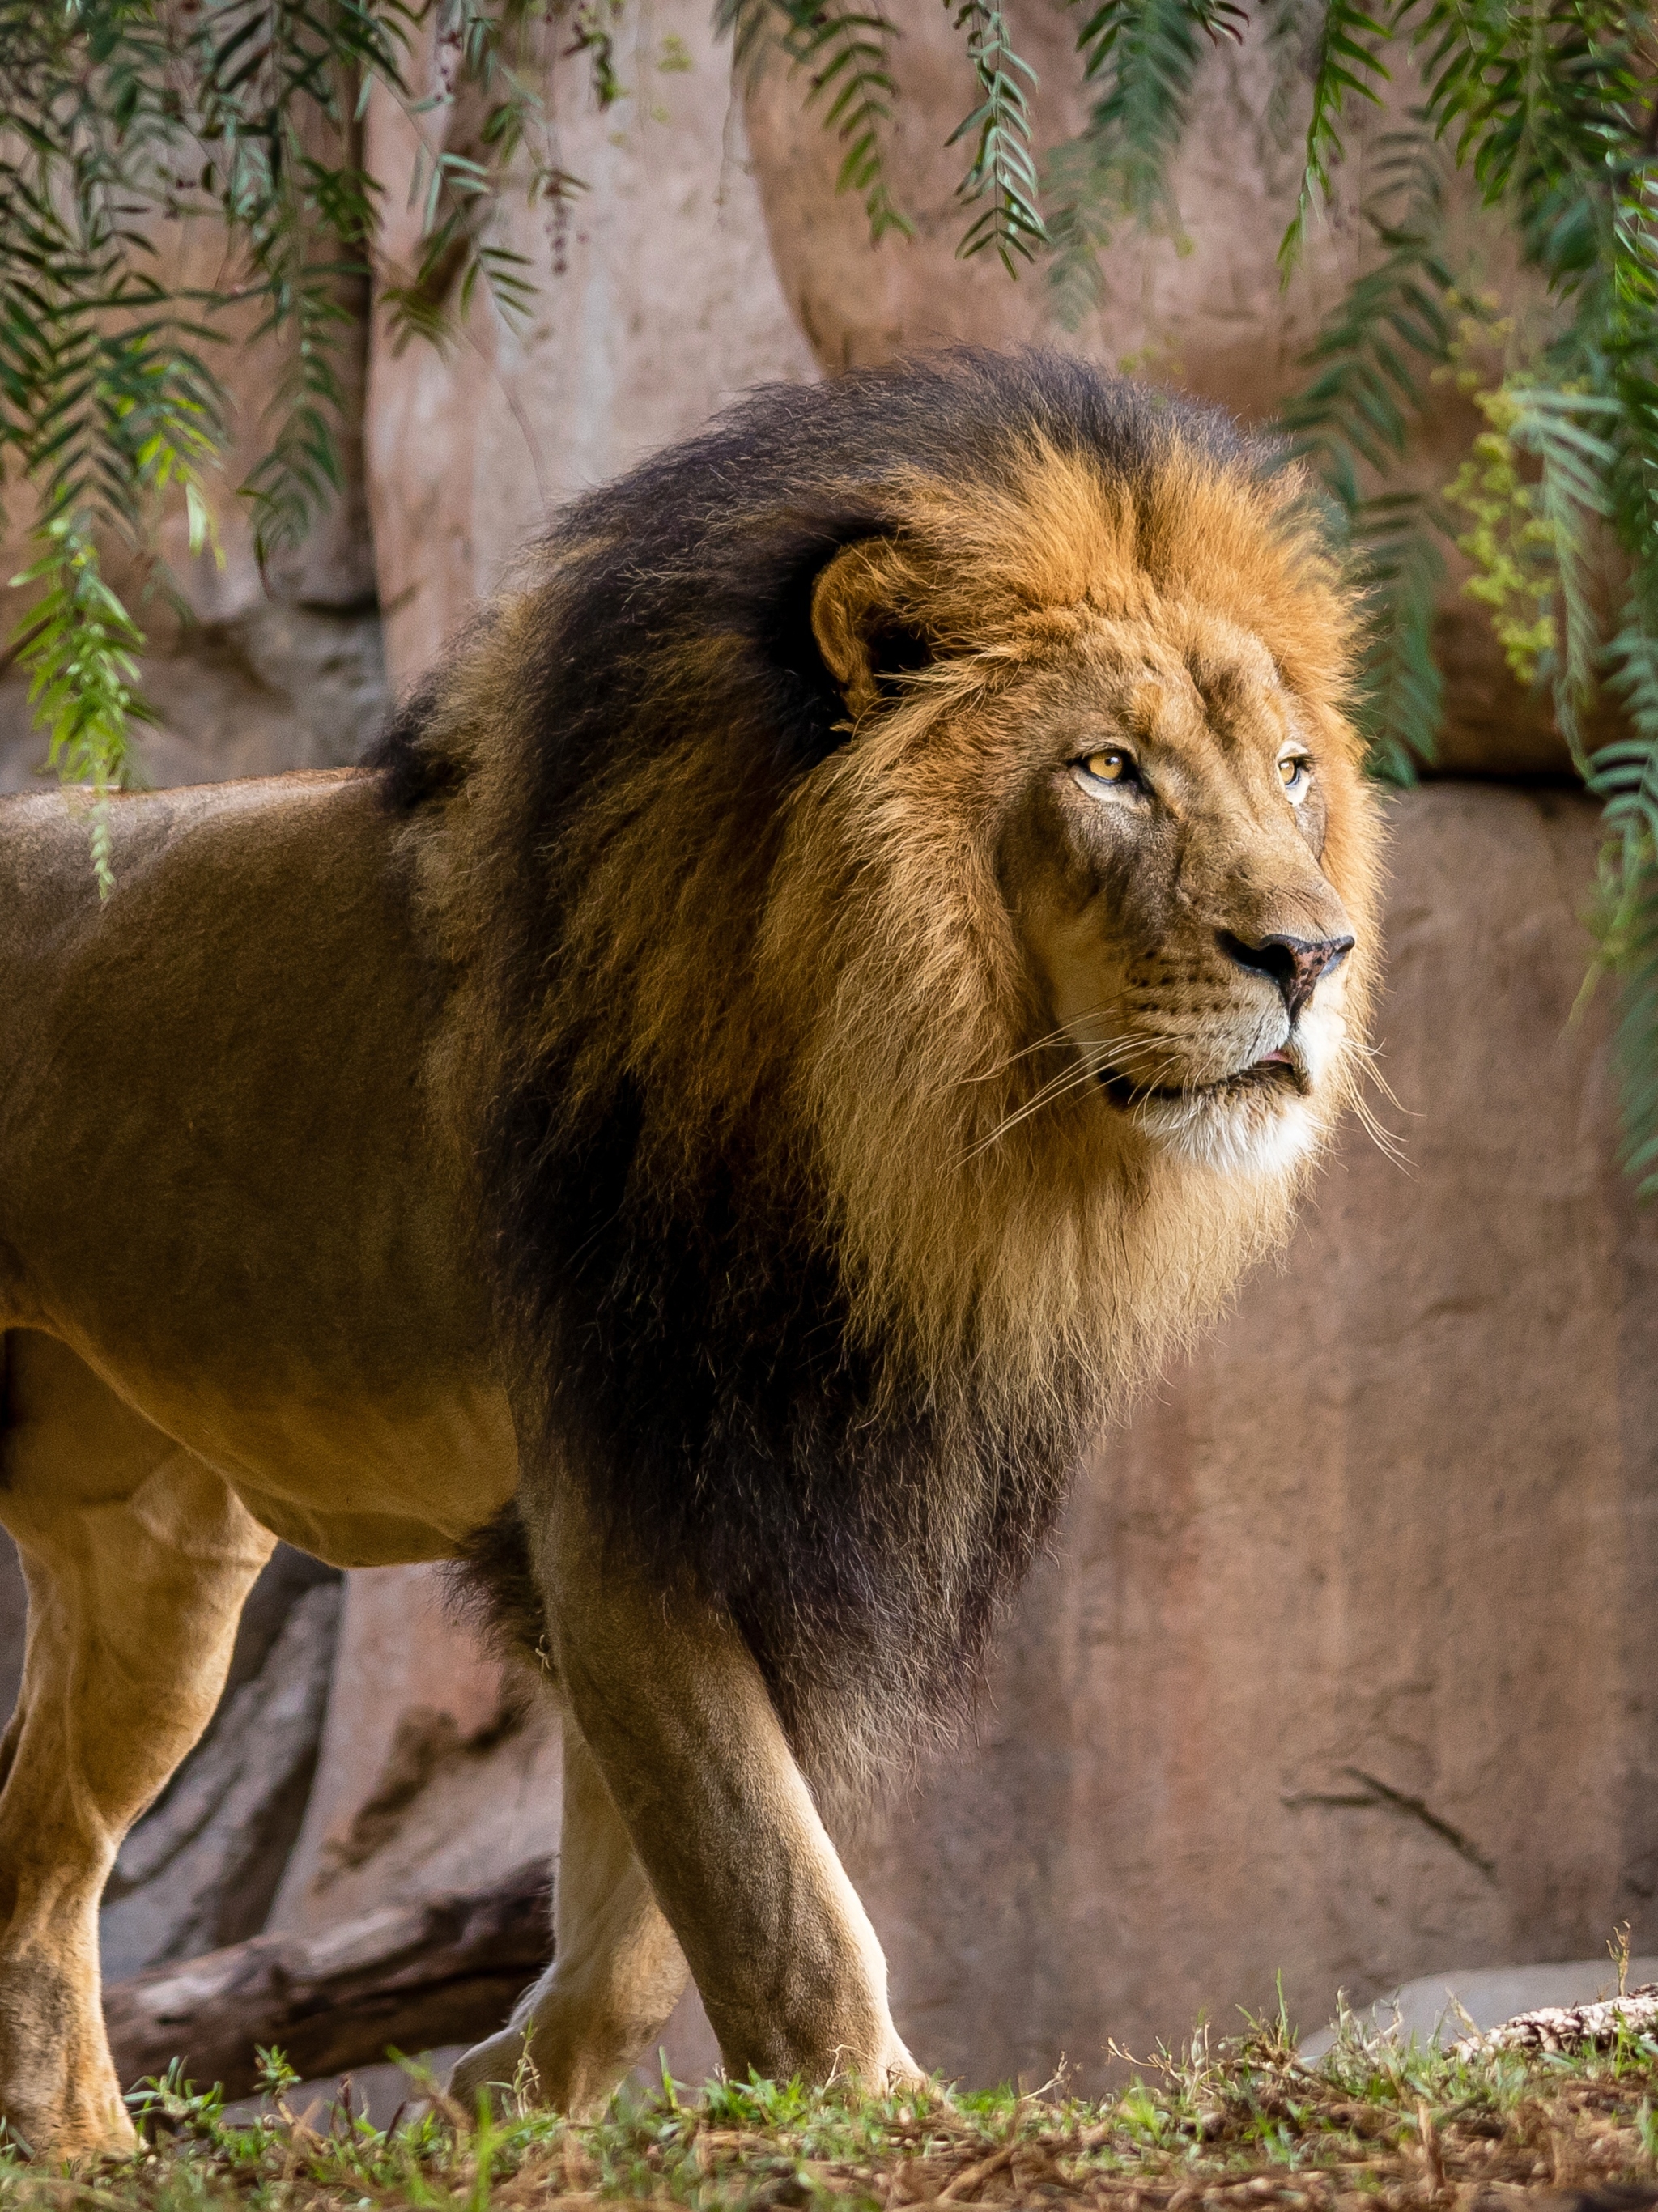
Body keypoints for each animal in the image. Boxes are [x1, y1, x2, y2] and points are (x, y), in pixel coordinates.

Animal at [0, 349, 1379, 2159]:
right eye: (1106, 770)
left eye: (1287, 769)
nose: (1309, 954)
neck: (904, 1110)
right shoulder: (622, 1474)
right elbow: (765, 1873)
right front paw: (874, 2111)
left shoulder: (744, 1489)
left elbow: (659, 1900)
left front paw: (501, 2102)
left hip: (149, 1561)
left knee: (38, 1847)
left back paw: (76, 2145)